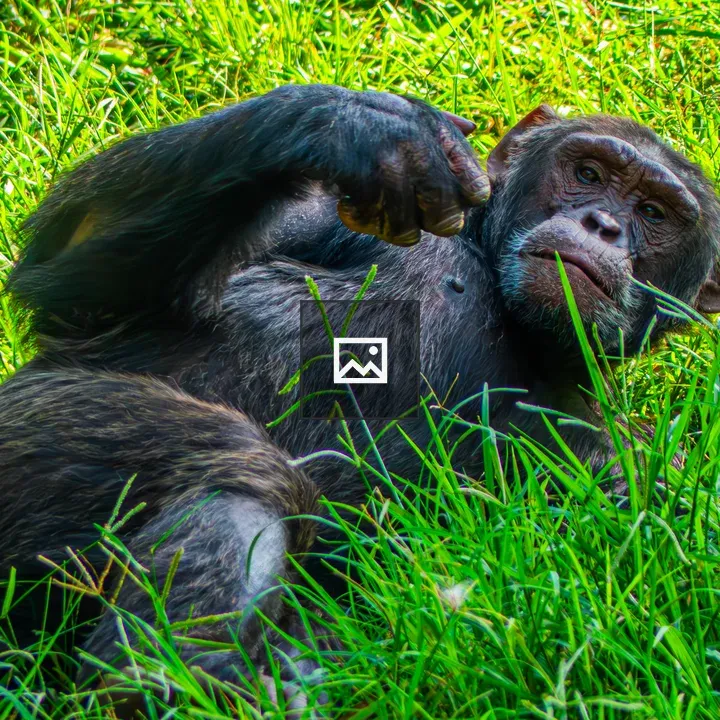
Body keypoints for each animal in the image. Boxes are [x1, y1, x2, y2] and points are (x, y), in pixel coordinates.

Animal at [1, 84, 719, 705]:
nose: (601, 224)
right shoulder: (318, 211)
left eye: (653, 214)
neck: (510, 313)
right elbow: (73, 275)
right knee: (235, 467)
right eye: (589, 173)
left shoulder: (633, 475)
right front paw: (362, 125)